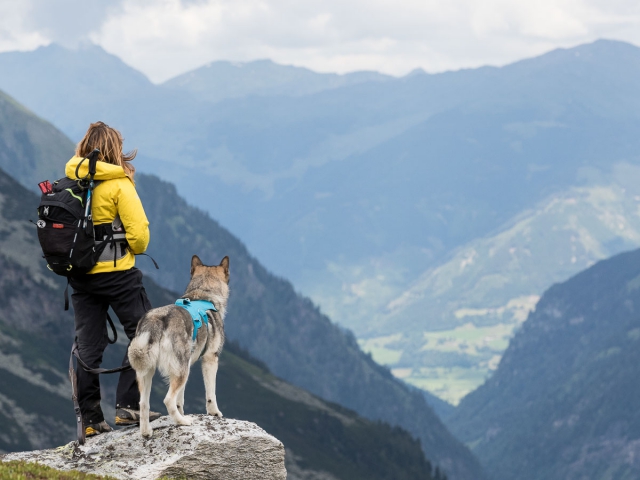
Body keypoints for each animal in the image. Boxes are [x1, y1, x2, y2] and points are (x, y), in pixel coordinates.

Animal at [126, 255, 229, 438]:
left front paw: (182, 411)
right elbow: (211, 393)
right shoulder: (210, 359)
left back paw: (146, 432)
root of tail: (157, 320)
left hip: (150, 372)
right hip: (181, 372)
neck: (204, 294)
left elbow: (180, 399)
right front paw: (214, 412)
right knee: (167, 399)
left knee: (143, 403)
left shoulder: (186, 365)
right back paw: (183, 422)